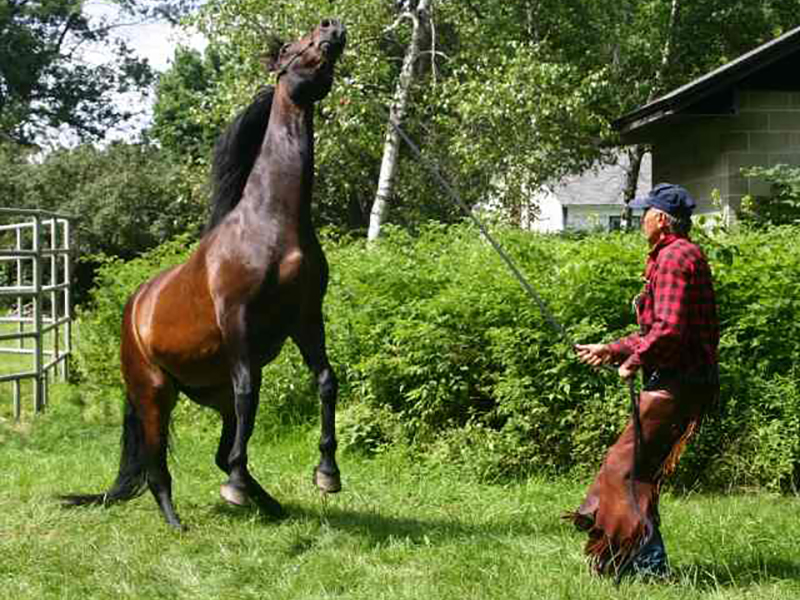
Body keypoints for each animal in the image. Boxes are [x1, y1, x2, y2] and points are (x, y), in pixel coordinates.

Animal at [62, 18, 346, 528]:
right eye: (290, 49)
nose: (331, 27)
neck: (273, 225)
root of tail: (134, 306)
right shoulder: (237, 320)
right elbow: (250, 392)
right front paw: (234, 489)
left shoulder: (306, 317)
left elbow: (326, 381)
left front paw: (327, 474)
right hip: (153, 394)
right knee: (157, 462)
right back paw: (180, 522)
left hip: (207, 393)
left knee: (218, 447)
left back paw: (270, 505)